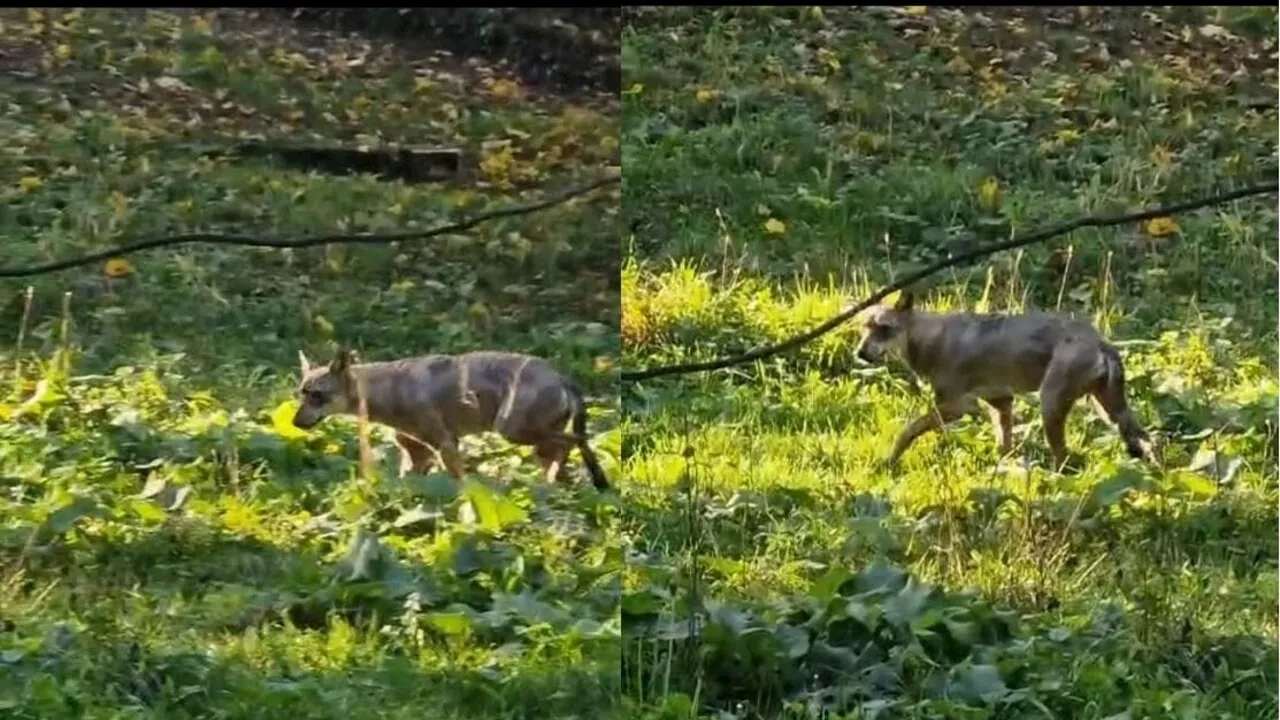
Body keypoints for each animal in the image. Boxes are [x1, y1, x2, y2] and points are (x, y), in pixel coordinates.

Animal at [293, 345, 611, 486]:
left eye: (317, 395)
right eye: (300, 394)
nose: (295, 422)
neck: (386, 390)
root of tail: (562, 377)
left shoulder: (445, 445)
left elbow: (461, 484)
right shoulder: (418, 455)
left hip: (512, 431)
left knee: (576, 439)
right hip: (535, 444)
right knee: (567, 449)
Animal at [855, 288, 1157, 468]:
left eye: (884, 328)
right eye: (864, 328)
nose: (859, 353)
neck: (930, 339)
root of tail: (1100, 342)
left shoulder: (958, 407)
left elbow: (907, 431)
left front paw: (889, 461)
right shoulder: (1001, 403)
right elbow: (1005, 447)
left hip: (1052, 406)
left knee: (1066, 459)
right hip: (1111, 412)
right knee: (1149, 441)